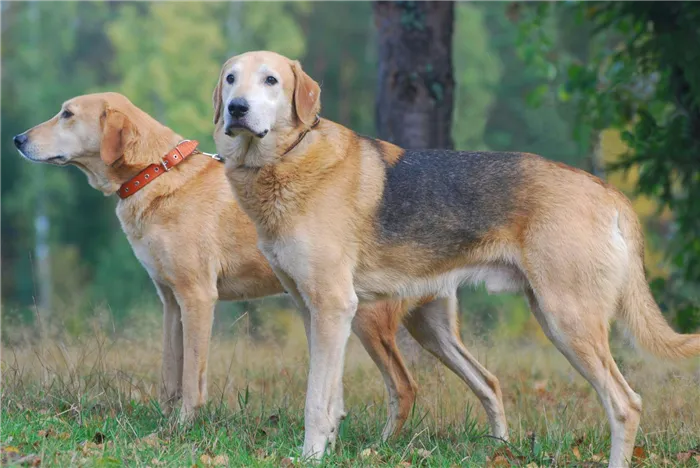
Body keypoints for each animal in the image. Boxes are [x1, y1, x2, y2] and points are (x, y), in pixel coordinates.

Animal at [12, 92, 508, 442]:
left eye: (67, 114)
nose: (17, 139)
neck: (156, 173)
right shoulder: (170, 302)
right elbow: (169, 375)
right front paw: (164, 426)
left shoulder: (198, 298)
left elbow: (192, 378)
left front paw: (182, 431)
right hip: (431, 327)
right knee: (488, 381)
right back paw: (494, 445)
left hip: (369, 320)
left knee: (405, 387)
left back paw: (380, 447)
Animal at [213, 49, 700, 466]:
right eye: (231, 78)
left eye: (271, 80)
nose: (236, 108)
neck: (287, 159)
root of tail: (608, 193)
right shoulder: (312, 310)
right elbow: (332, 399)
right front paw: (327, 451)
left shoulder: (335, 308)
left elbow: (316, 401)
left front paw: (311, 457)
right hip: (463, 325)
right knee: (492, 383)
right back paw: (498, 450)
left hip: (568, 321)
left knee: (625, 403)